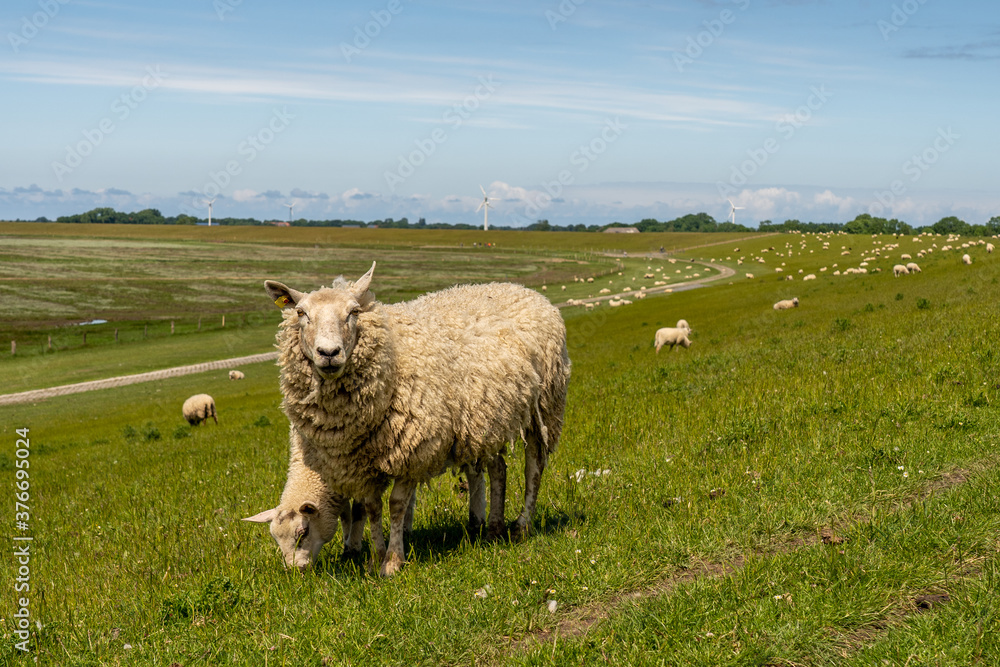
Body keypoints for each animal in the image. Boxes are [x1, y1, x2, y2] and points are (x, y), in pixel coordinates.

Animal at [247, 263, 571, 576]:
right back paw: (492, 528)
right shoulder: (358, 464)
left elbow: (396, 504)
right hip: (487, 419)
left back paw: (522, 525)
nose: (329, 353)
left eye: (354, 312)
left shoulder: (411, 450)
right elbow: (371, 508)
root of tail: (523, 289)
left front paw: (393, 561)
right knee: (498, 469)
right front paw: (375, 558)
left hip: (544, 406)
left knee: (533, 467)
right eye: (301, 313)